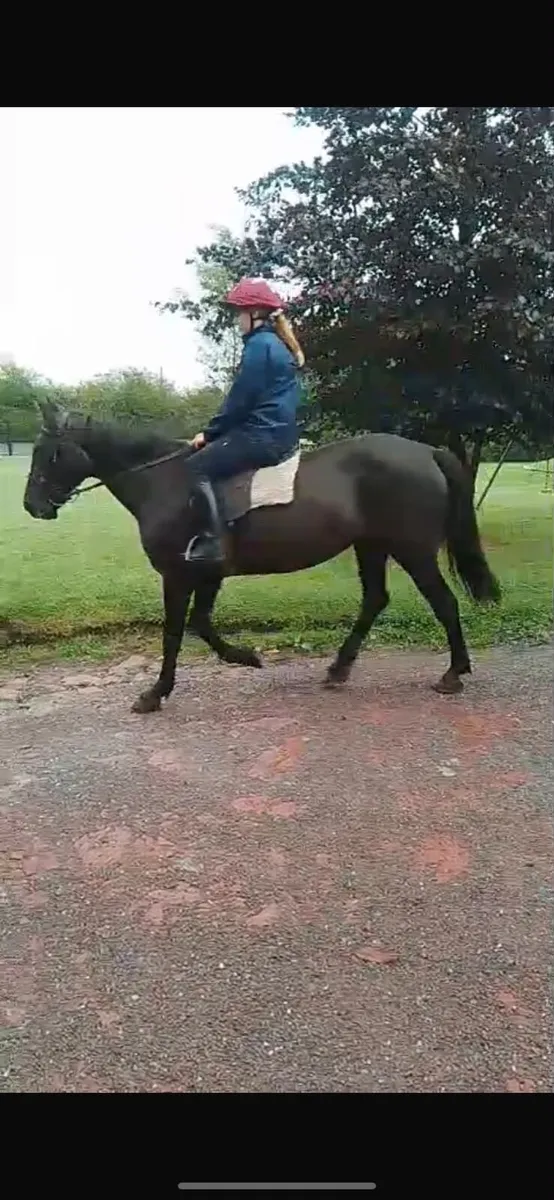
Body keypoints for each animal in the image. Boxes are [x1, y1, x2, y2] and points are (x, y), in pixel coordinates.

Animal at [23, 399, 501, 714]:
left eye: (49, 452)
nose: (32, 506)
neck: (166, 481)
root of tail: (426, 451)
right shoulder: (208, 574)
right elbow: (201, 624)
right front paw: (246, 657)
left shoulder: (179, 574)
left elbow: (176, 631)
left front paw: (156, 693)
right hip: (371, 545)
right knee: (376, 600)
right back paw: (338, 669)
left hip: (411, 550)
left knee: (444, 602)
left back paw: (453, 674)